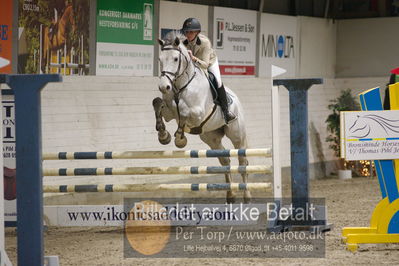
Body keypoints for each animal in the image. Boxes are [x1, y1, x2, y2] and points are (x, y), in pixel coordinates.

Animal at [155, 33, 252, 204]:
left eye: (175, 59)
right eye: (160, 59)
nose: (164, 87)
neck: (181, 86)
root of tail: (236, 99)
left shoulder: (197, 114)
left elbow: (184, 112)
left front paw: (179, 138)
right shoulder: (169, 113)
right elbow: (159, 105)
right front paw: (163, 135)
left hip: (237, 135)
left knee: (242, 162)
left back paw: (246, 197)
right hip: (211, 137)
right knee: (225, 161)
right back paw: (230, 196)